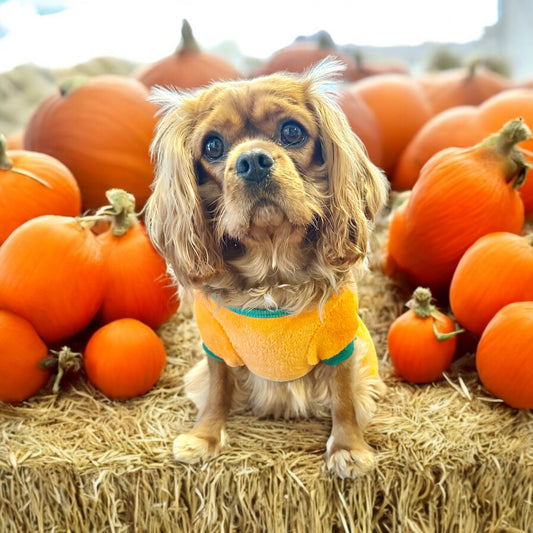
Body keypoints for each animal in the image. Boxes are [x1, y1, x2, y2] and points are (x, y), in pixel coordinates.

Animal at [144, 59, 386, 478]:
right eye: (212, 146)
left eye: (291, 131)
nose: (252, 160)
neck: (272, 267)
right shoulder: (216, 346)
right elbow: (218, 390)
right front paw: (204, 436)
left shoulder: (340, 345)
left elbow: (343, 396)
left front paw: (348, 447)